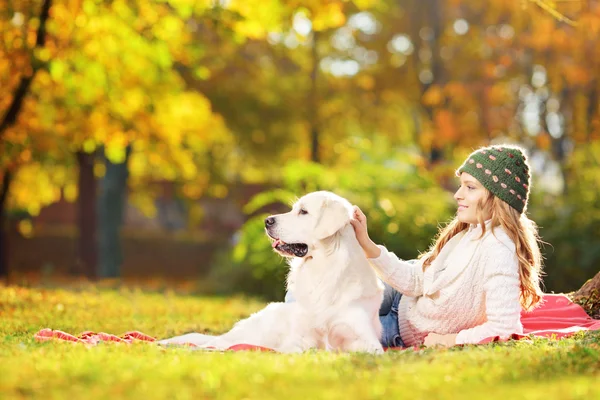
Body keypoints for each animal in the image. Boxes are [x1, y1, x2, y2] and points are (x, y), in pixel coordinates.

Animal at [159, 192, 384, 354]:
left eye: (303, 212)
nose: (267, 220)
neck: (323, 269)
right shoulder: (298, 338)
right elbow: (302, 347)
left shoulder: (367, 341)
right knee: (219, 343)